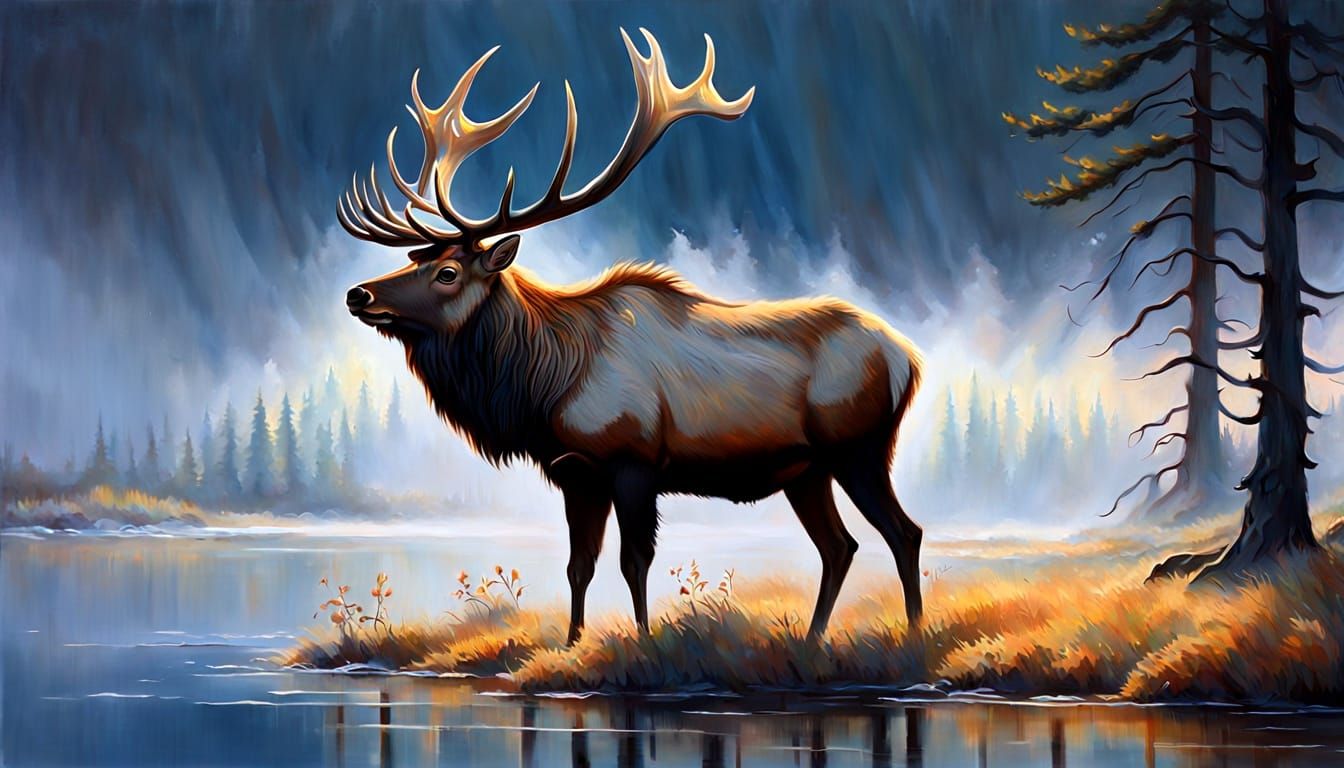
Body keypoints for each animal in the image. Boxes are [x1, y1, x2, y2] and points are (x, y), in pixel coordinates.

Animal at [338, 29, 925, 644]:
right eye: (417, 259)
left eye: (448, 272)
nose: (359, 294)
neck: (546, 382)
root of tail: (908, 357)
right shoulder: (575, 472)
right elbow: (579, 565)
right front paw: (572, 643)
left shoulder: (633, 460)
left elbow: (633, 560)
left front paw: (642, 641)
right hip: (806, 470)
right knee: (840, 546)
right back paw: (813, 642)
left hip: (859, 448)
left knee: (902, 532)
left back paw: (912, 634)